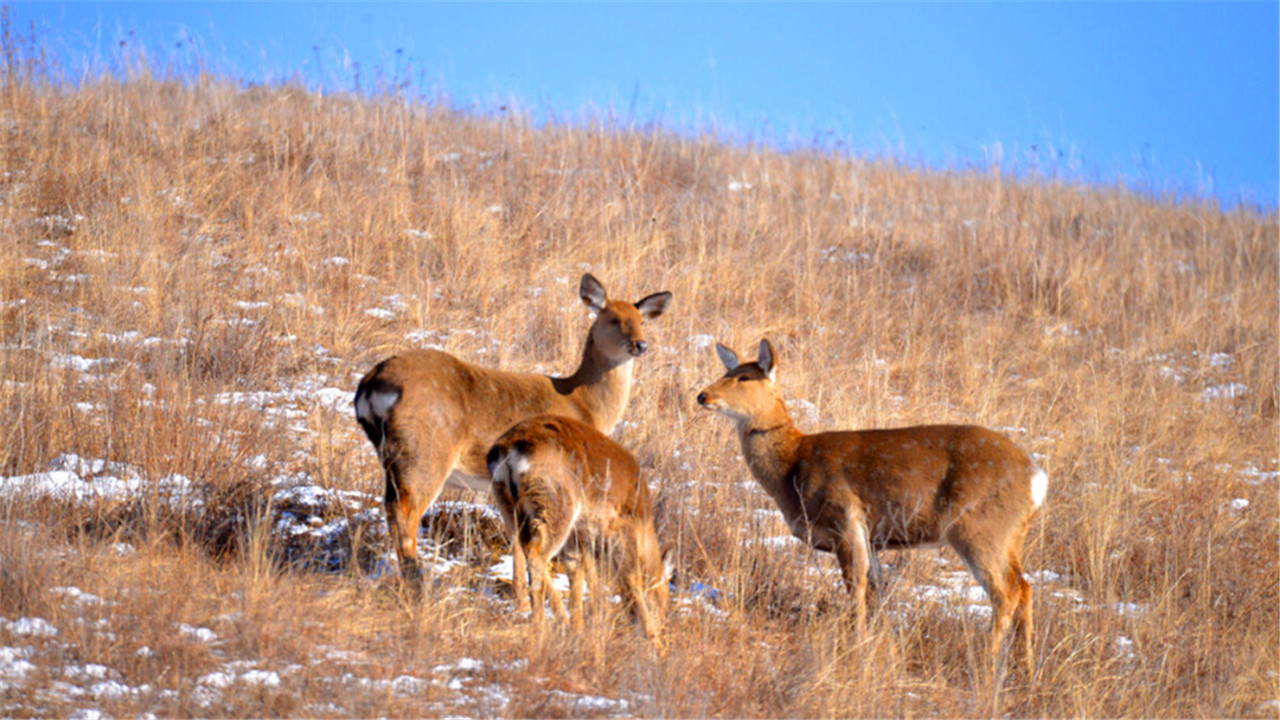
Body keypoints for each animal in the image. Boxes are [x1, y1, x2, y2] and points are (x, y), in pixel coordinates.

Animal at [701, 338, 1049, 671]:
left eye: (743, 377)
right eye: (727, 372)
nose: (702, 396)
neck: (791, 467)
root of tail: (1037, 478)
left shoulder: (845, 519)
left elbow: (856, 590)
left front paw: (857, 649)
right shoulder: (870, 538)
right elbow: (876, 595)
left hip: (979, 528)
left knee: (1005, 593)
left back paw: (989, 664)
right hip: (1011, 535)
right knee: (1025, 588)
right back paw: (1027, 669)